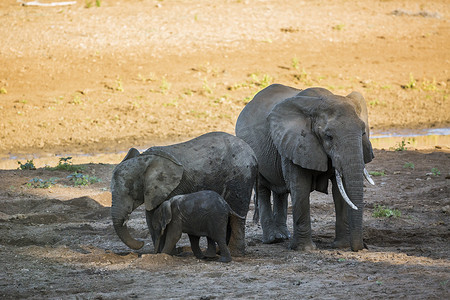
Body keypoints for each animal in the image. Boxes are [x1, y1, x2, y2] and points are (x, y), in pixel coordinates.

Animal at [110, 131, 256, 255]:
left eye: (130, 192)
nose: (141, 243)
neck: (146, 159)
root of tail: (253, 153)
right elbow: (151, 217)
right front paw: (160, 254)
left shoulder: (173, 186)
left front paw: (168, 255)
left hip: (240, 177)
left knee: (237, 215)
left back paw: (235, 253)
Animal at [237, 84, 374, 251]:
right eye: (329, 136)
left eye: (363, 132)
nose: (362, 247)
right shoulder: (295, 143)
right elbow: (300, 186)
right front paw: (305, 249)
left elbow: (339, 191)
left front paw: (341, 246)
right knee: (263, 189)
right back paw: (272, 239)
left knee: (280, 191)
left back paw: (283, 236)